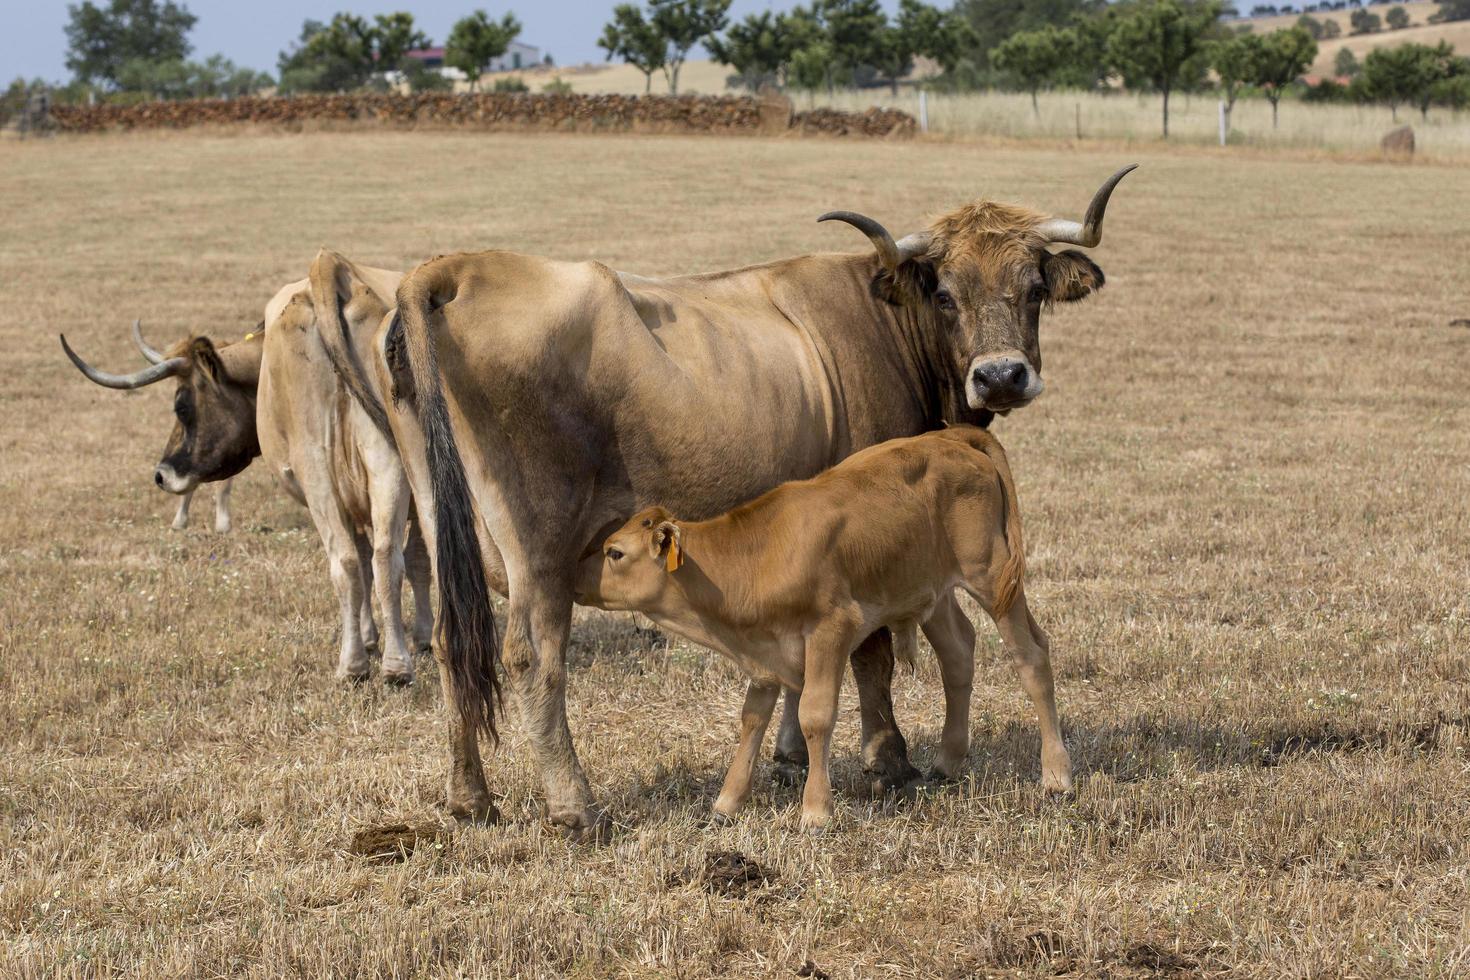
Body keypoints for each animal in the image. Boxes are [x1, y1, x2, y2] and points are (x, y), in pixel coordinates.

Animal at [579, 426, 1076, 834]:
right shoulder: (764, 653)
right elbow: (752, 719)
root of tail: (952, 437)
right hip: (930, 588)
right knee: (957, 653)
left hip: (992, 577)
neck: (756, 555)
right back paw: (948, 762)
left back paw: (1057, 775)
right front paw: (727, 802)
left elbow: (815, 715)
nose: (574, 580)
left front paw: (815, 811)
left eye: (614, 552)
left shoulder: (832, 629)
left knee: (1032, 656)